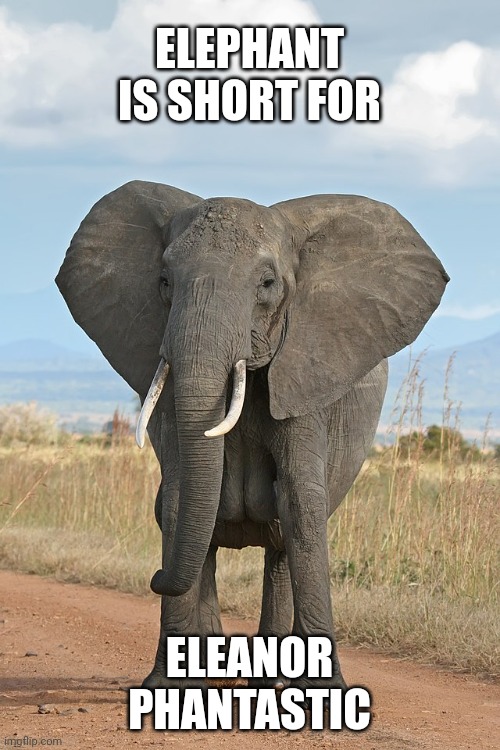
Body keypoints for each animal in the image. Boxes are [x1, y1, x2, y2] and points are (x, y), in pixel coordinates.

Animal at [56, 180, 448, 690]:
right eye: (164, 282)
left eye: (267, 284)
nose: (155, 577)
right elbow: (179, 499)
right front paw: (165, 689)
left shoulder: (306, 375)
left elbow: (301, 503)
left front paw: (327, 695)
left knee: (283, 541)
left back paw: (276, 684)